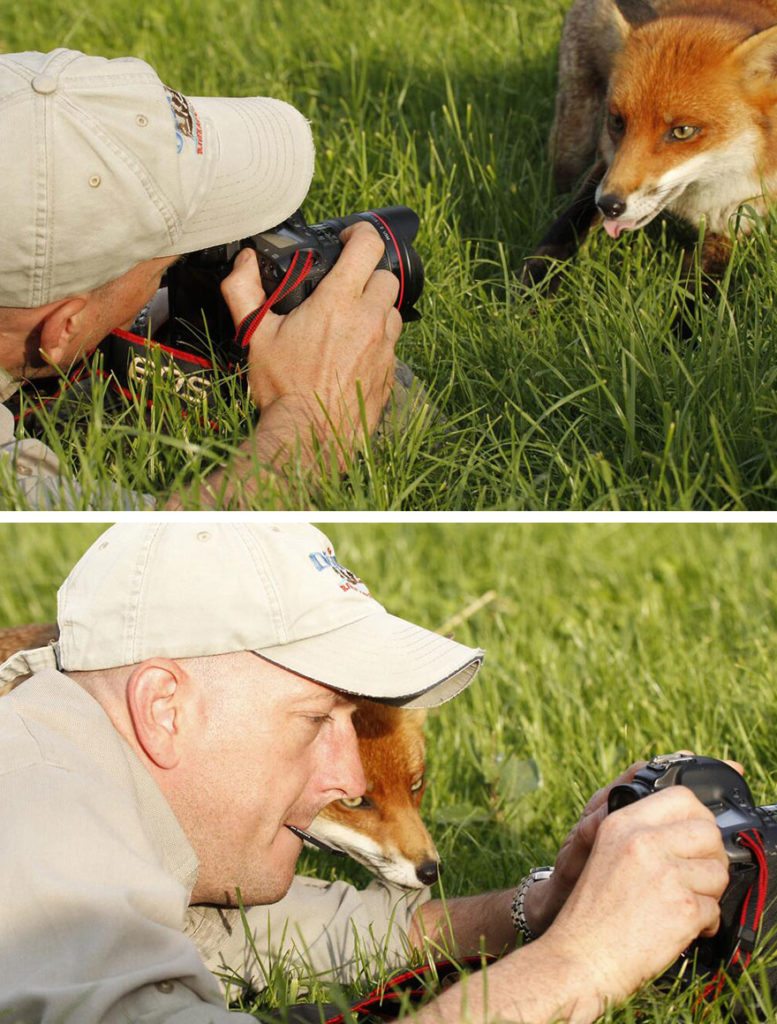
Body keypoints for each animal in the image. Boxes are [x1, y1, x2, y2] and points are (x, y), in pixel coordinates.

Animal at [524, 0, 777, 286]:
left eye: (682, 131)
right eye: (618, 121)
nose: (609, 205)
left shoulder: (738, 215)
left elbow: (694, 291)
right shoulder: (607, 162)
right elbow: (567, 224)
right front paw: (531, 286)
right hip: (572, 139)